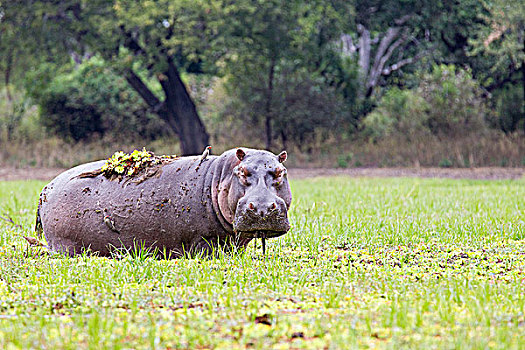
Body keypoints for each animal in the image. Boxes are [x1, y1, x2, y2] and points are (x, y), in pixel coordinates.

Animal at [36, 148, 290, 258]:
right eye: (243, 172)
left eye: (280, 172)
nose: (262, 208)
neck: (221, 175)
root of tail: (46, 187)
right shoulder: (203, 240)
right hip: (65, 243)